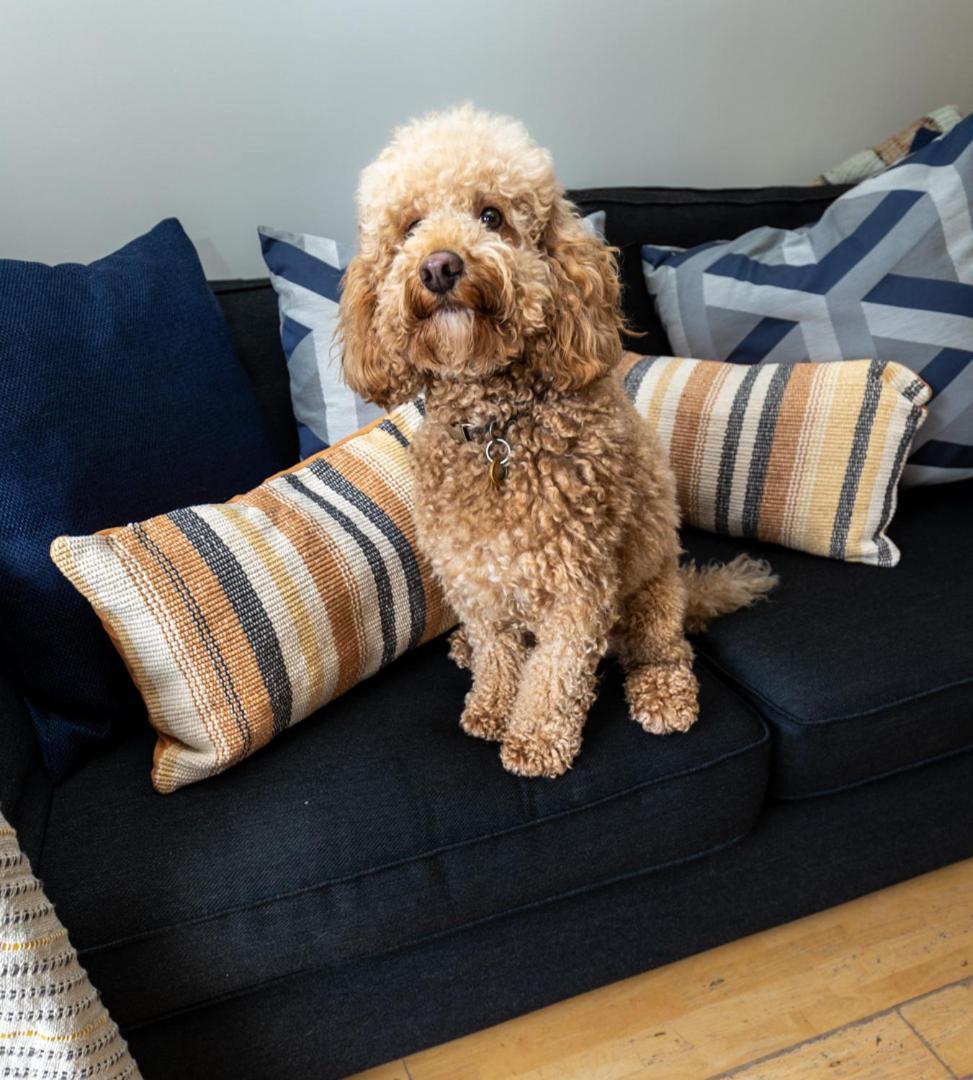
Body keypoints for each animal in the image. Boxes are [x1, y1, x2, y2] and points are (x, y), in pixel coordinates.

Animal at [339, 103, 773, 777]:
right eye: (411, 226)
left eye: (491, 215)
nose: (439, 266)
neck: (498, 428)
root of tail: (687, 589)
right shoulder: (475, 578)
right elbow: (499, 652)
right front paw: (492, 707)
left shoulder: (578, 582)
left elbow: (556, 671)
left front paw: (536, 740)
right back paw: (464, 651)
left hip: (650, 589)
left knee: (660, 648)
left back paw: (663, 691)